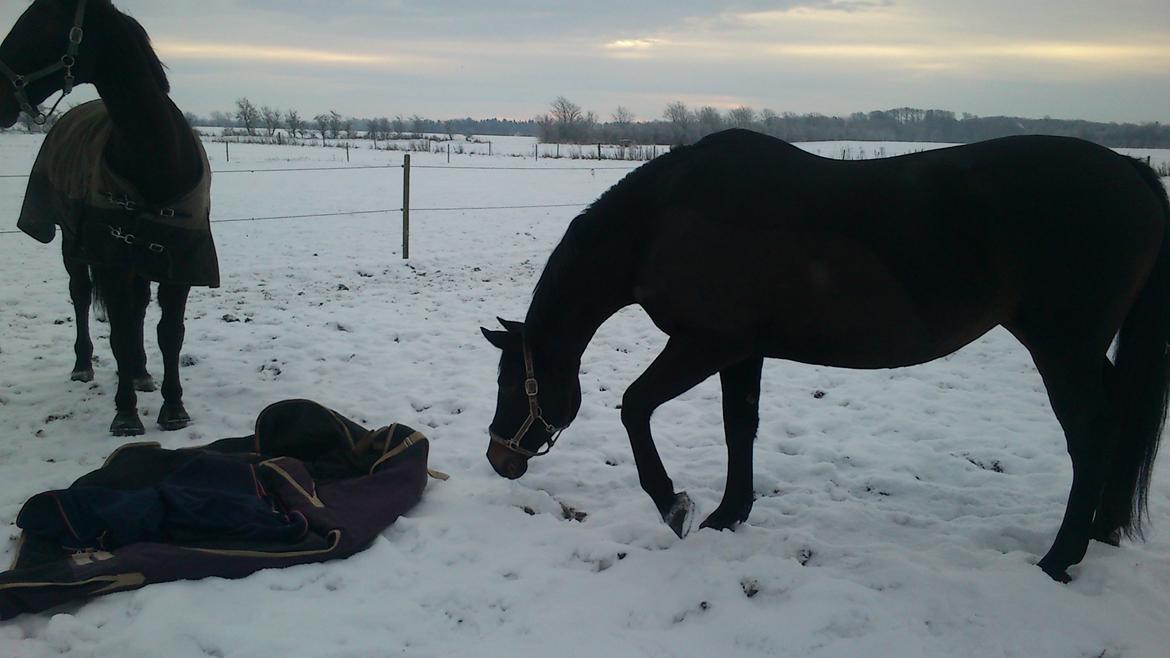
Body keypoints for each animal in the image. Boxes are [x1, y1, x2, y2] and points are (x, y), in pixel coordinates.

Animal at [0, 1, 217, 435]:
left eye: (42, 23)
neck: (157, 155)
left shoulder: (180, 261)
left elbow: (170, 333)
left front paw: (173, 407)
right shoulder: (110, 256)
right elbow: (117, 332)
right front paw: (126, 413)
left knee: (137, 307)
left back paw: (141, 372)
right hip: (72, 244)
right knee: (82, 296)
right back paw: (84, 366)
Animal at [484, 128, 1170, 578]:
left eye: (512, 383)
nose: (499, 458)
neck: (665, 221)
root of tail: (1133, 173)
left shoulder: (705, 344)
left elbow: (634, 407)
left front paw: (675, 505)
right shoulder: (742, 352)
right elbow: (740, 426)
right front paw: (728, 515)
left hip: (1063, 348)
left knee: (1092, 433)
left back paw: (1059, 559)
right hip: (1079, 350)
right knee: (1123, 418)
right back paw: (1102, 530)